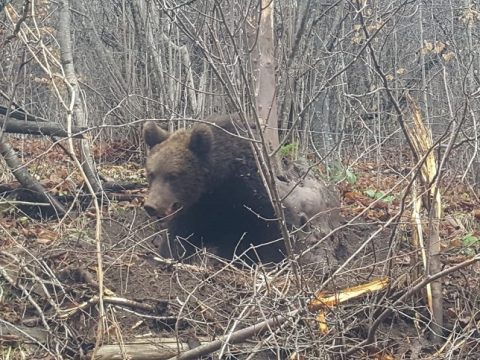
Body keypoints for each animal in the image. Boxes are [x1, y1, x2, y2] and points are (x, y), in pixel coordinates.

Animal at [142, 114, 284, 262]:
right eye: (151, 174)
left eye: (173, 175)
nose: (151, 206)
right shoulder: (194, 211)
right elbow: (176, 240)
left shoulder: (252, 197)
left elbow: (271, 238)